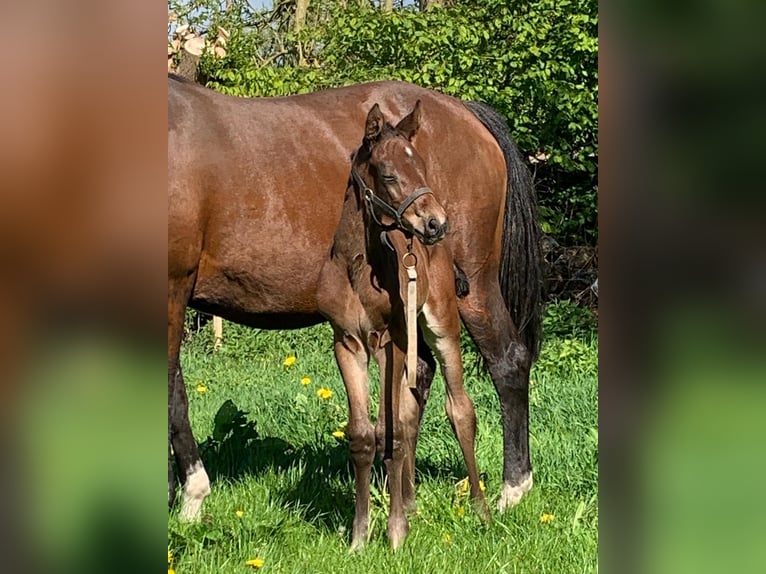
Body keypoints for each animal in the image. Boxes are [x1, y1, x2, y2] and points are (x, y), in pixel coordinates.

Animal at [168, 74, 542, 523]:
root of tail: (468, 113)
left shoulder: (171, 287)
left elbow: (171, 396)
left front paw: (191, 498)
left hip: (475, 288)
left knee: (508, 361)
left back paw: (512, 489)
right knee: (418, 376)